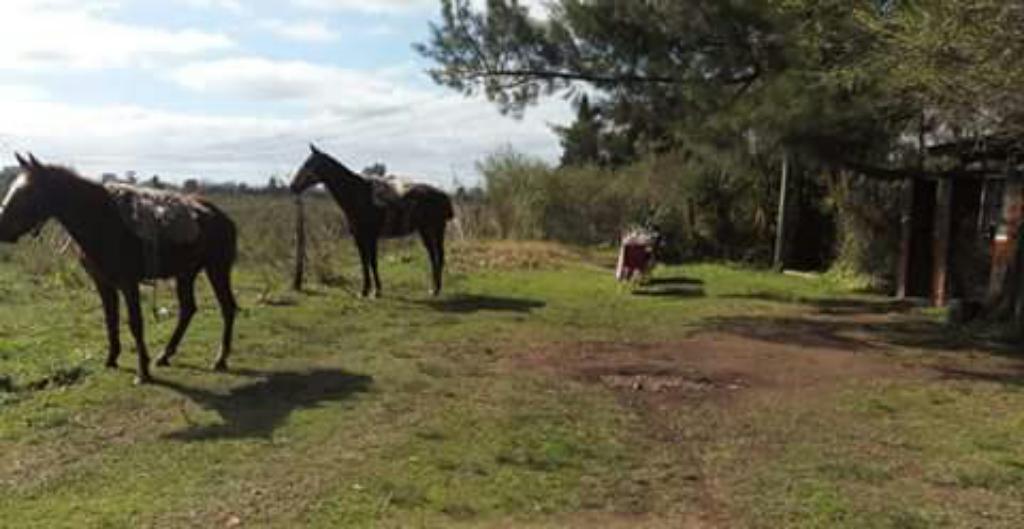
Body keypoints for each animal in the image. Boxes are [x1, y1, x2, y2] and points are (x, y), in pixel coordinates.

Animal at [0, 153, 237, 382]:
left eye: (28, 192)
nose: (2, 227)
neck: (104, 222)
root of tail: (222, 217)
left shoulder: (128, 283)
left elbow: (135, 322)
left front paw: (143, 371)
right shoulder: (103, 283)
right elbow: (110, 319)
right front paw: (111, 359)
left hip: (217, 269)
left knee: (227, 307)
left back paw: (220, 359)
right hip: (186, 273)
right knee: (188, 309)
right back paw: (165, 355)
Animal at [286, 144, 450, 296]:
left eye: (308, 164)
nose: (293, 186)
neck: (359, 195)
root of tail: (442, 194)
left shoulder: (370, 237)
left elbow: (372, 262)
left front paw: (374, 291)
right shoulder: (360, 237)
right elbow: (365, 262)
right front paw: (366, 290)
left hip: (436, 229)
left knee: (439, 256)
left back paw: (436, 290)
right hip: (426, 230)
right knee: (433, 256)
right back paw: (433, 289)